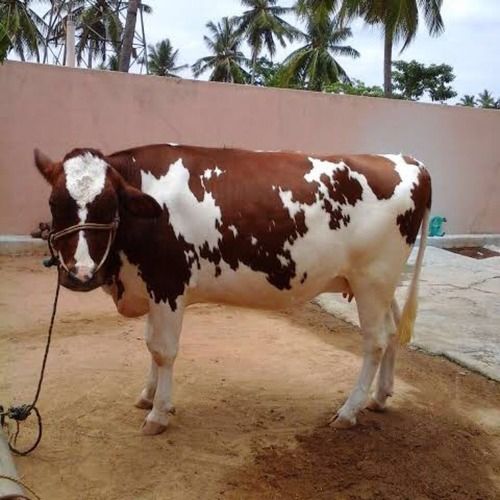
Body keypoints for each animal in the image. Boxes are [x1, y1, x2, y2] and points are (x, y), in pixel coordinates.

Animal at [33, 144, 432, 434]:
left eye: (109, 205)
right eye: (54, 203)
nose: (80, 274)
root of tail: (405, 159)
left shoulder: (168, 285)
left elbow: (163, 351)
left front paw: (158, 413)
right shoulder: (152, 286)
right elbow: (149, 345)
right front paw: (148, 395)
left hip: (372, 279)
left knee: (375, 341)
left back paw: (349, 411)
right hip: (380, 283)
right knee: (392, 331)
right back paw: (380, 397)